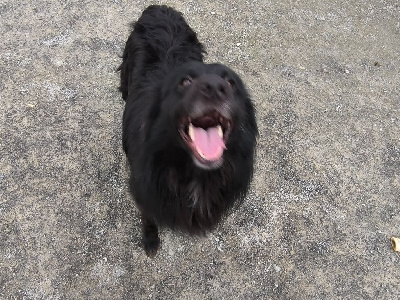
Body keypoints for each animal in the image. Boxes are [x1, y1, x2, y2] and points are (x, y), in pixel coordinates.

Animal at [117, 4, 258, 256]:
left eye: (231, 82)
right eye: (185, 82)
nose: (215, 87)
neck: (193, 172)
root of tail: (158, 7)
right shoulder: (143, 189)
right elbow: (148, 217)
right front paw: (150, 240)